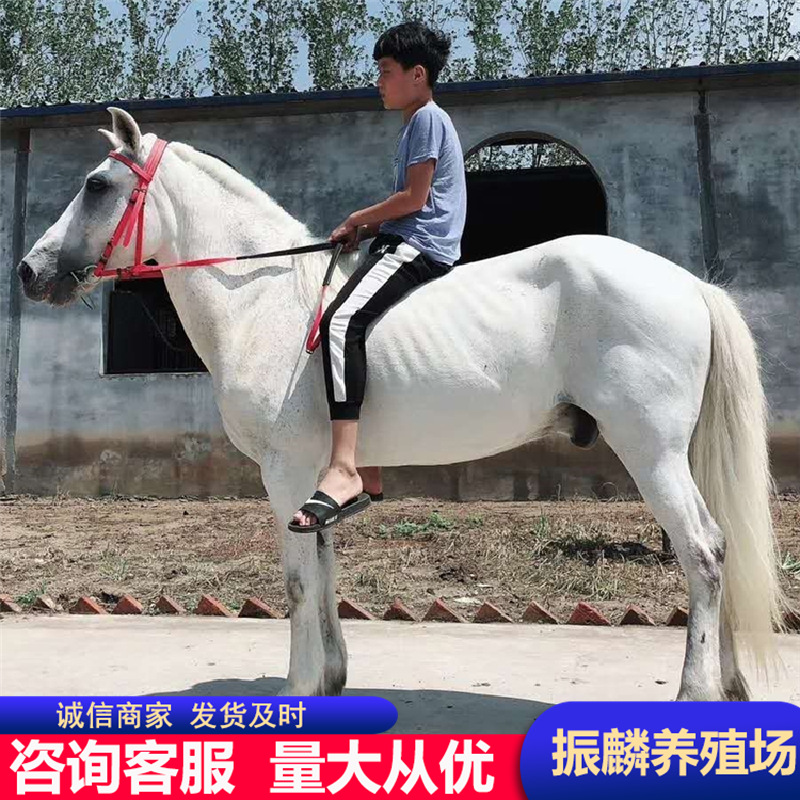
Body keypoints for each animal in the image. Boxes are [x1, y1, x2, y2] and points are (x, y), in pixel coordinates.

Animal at [17, 106, 786, 700]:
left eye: (96, 185)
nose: (29, 271)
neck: (267, 303)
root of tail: (687, 283)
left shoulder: (284, 473)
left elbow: (297, 584)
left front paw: (297, 691)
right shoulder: (314, 484)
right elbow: (323, 569)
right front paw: (329, 680)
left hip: (651, 451)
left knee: (703, 553)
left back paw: (694, 694)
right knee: (719, 547)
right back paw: (729, 687)